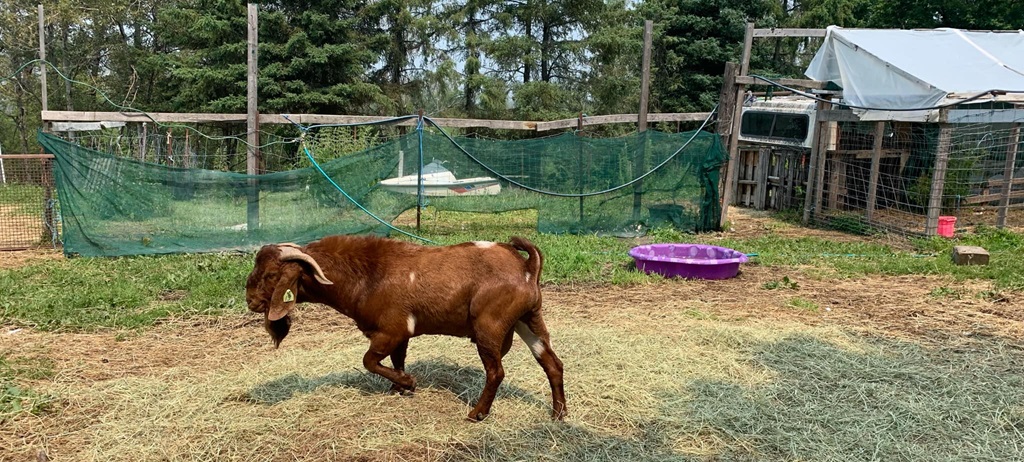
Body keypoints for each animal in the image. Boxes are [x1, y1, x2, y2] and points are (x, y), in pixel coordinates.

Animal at [245, 235, 567, 421]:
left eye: (271, 274)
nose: (250, 301)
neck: (368, 275)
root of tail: (526, 269)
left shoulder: (391, 329)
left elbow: (369, 360)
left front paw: (408, 383)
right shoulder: (401, 335)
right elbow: (396, 358)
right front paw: (397, 387)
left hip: (489, 325)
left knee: (496, 371)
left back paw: (477, 413)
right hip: (530, 319)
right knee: (552, 363)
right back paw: (558, 413)